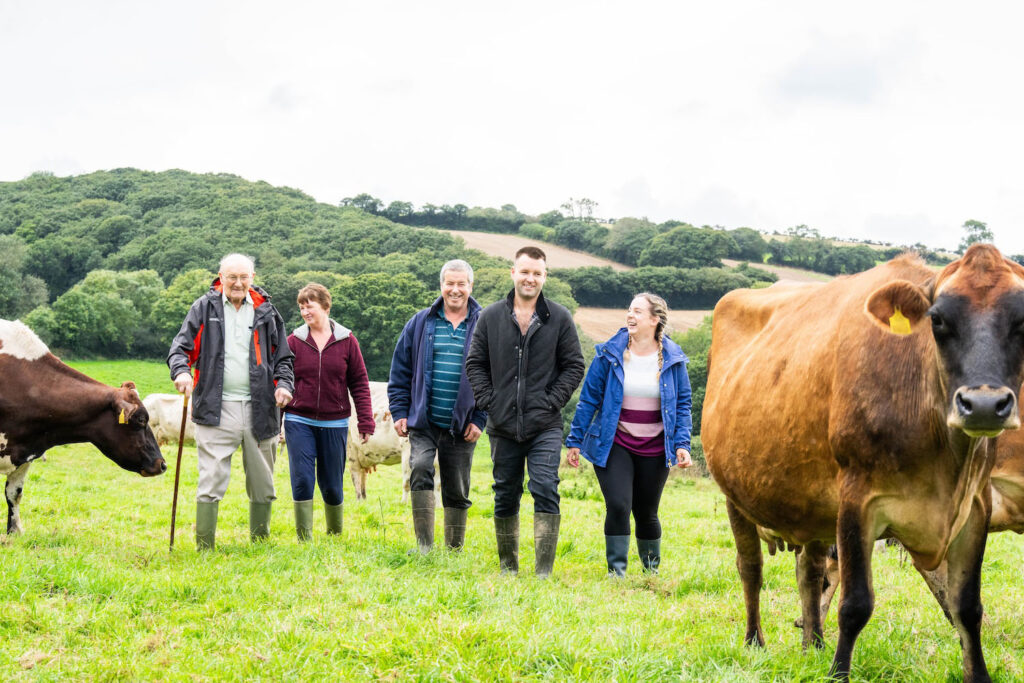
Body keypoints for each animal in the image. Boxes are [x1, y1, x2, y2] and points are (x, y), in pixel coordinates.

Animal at [700, 245, 1024, 683]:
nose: (985, 404)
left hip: (813, 503)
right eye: (937, 319)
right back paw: (755, 641)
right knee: (750, 567)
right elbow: (855, 606)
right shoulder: (857, 499)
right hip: (735, 494)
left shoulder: (975, 508)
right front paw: (839, 674)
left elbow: (966, 607)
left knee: (809, 571)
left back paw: (813, 644)